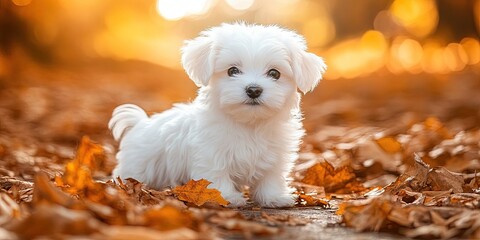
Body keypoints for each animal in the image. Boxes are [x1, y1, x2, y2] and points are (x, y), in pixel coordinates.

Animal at [109, 22, 326, 207]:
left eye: (274, 73)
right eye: (232, 71)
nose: (253, 90)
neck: (249, 124)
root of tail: (140, 123)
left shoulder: (276, 155)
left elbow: (271, 177)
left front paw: (274, 197)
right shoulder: (210, 153)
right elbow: (217, 174)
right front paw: (227, 197)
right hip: (137, 165)